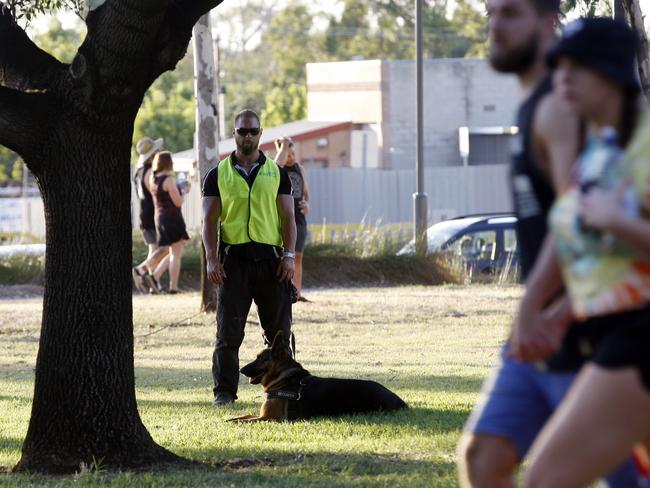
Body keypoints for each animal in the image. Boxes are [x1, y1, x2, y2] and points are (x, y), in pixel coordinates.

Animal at [225, 332, 402, 424]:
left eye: (260, 358)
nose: (241, 370)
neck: (285, 379)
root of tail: (400, 402)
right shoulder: (261, 415)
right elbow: (243, 416)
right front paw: (228, 418)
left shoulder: (268, 418)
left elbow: (243, 420)